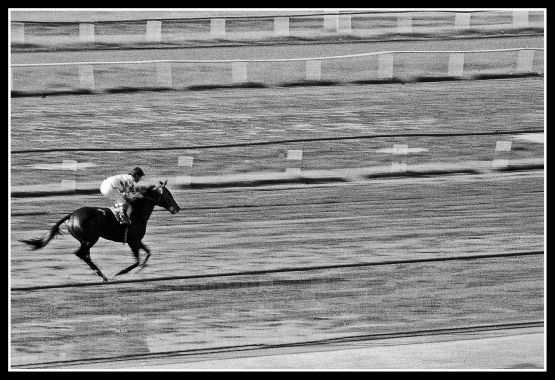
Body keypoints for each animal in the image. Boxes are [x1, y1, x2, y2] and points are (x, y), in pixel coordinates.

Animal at [19, 181, 180, 282]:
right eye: (168, 195)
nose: (177, 208)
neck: (137, 213)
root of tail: (71, 215)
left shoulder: (137, 241)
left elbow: (148, 253)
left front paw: (138, 270)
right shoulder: (133, 241)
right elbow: (138, 260)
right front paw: (120, 273)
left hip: (87, 241)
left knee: (85, 256)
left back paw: (99, 273)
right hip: (90, 239)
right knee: (80, 254)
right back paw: (102, 275)